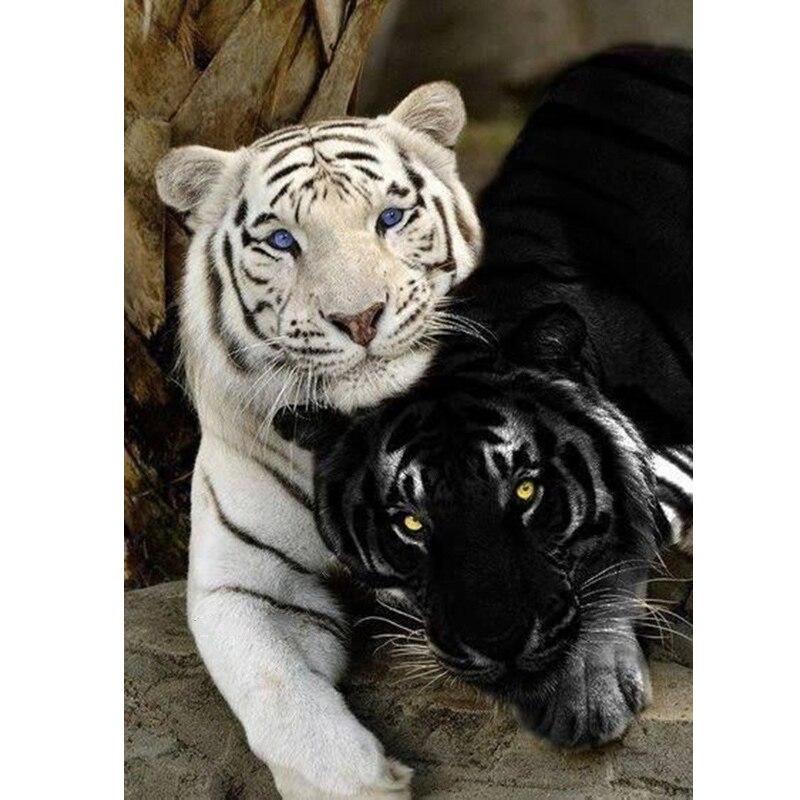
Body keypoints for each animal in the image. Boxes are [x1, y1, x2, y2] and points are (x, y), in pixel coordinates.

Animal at [154, 82, 481, 799]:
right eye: (282, 240)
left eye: (390, 217)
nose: (359, 317)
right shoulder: (244, 583)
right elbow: (272, 685)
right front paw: (358, 781)